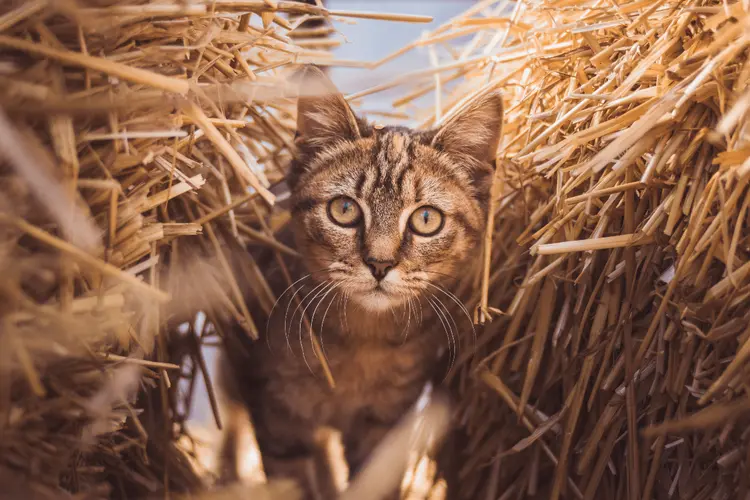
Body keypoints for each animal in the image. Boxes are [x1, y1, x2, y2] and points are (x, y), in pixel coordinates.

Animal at [220, 67, 506, 500]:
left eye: (426, 219)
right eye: (343, 210)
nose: (379, 263)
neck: (361, 341)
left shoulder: (385, 425)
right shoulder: (276, 417)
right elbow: (293, 481)